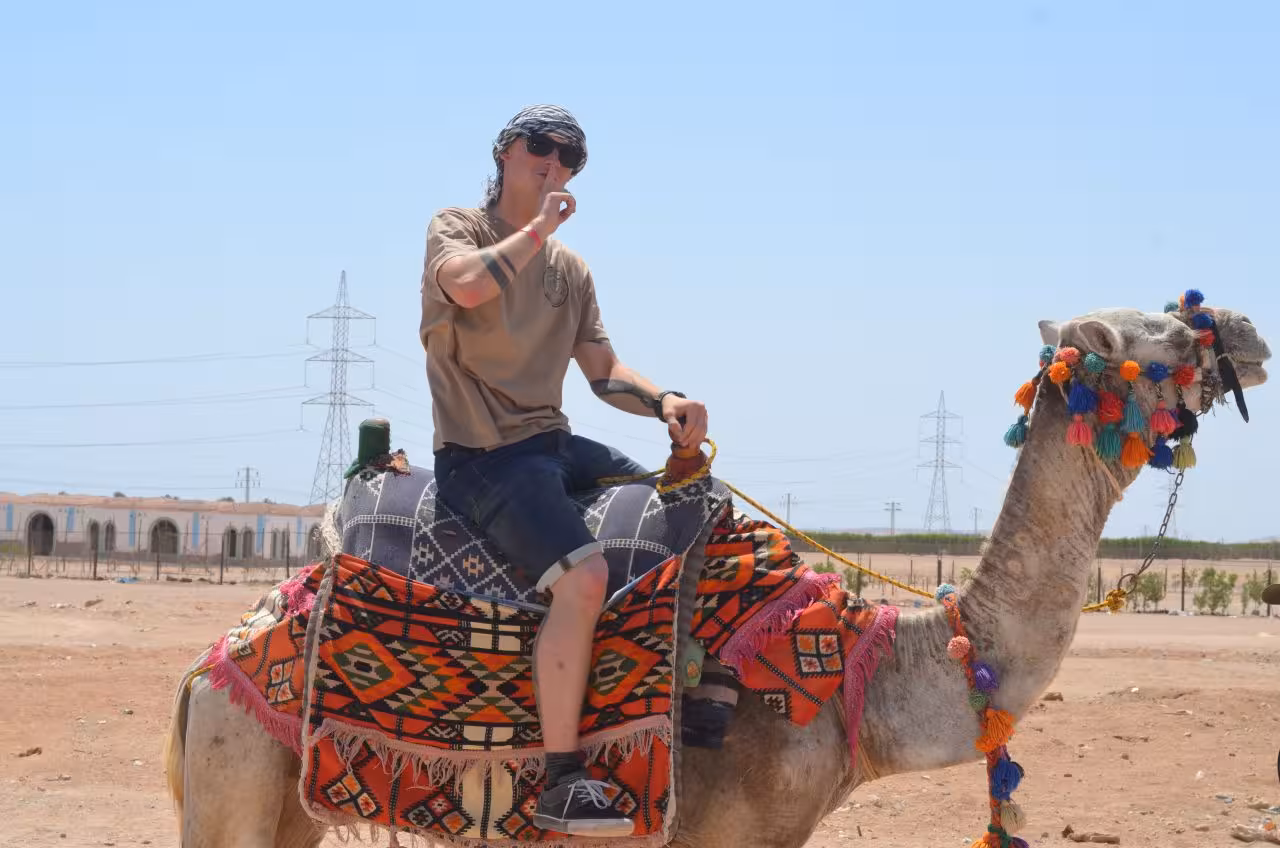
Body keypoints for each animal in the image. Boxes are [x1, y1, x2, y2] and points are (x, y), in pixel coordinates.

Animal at [163, 300, 1270, 848]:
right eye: (1165, 333)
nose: (1247, 333)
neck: (863, 672)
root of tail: (221, 651)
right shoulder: (724, 829)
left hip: (289, 799)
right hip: (233, 774)